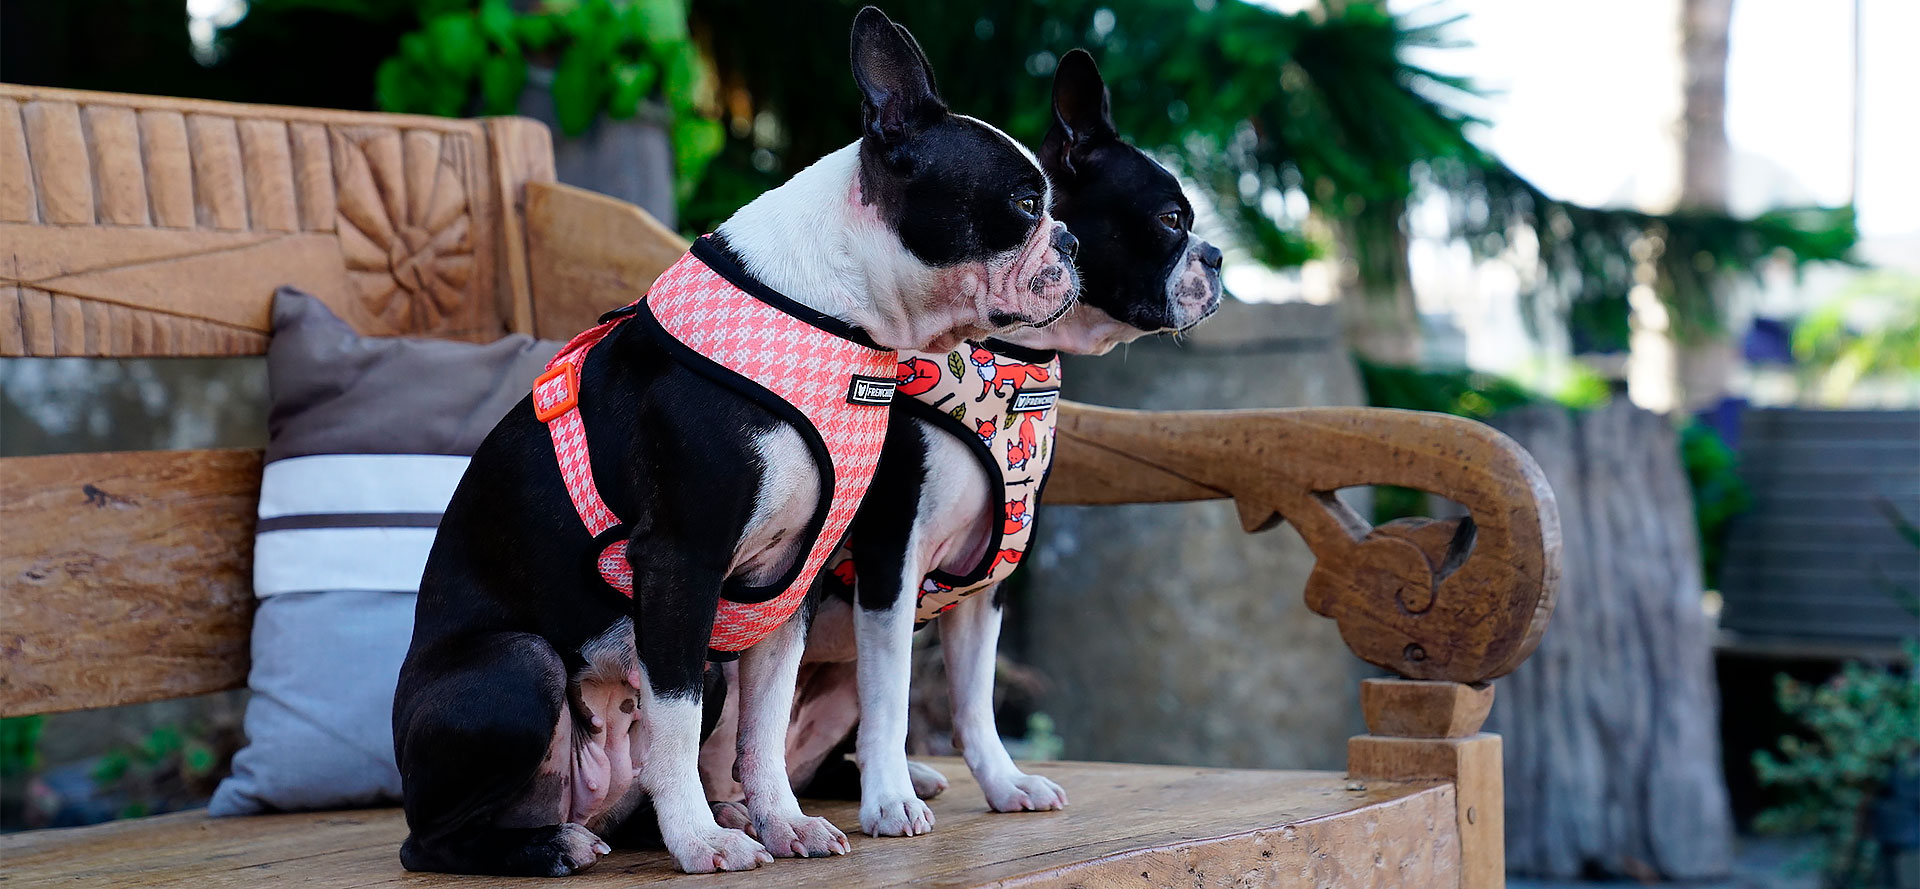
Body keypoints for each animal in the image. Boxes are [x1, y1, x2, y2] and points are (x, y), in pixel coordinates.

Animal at [698, 48, 1221, 837]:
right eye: (1169, 220)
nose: (1216, 256)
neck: (1003, 363)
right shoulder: (891, 559)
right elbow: (893, 697)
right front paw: (888, 801)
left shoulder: (989, 576)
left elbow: (974, 701)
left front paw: (1002, 782)